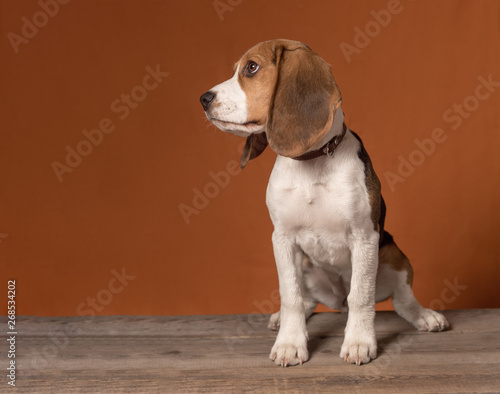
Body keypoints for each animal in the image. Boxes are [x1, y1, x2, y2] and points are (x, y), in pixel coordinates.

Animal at [199, 39, 450, 366]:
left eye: (251, 68)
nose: (203, 99)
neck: (311, 161)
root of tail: (336, 300)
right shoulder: (283, 239)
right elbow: (290, 296)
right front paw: (290, 343)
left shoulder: (365, 237)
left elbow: (361, 296)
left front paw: (359, 342)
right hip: (307, 265)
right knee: (306, 301)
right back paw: (282, 319)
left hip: (395, 256)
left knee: (401, 301)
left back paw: (425, 316)